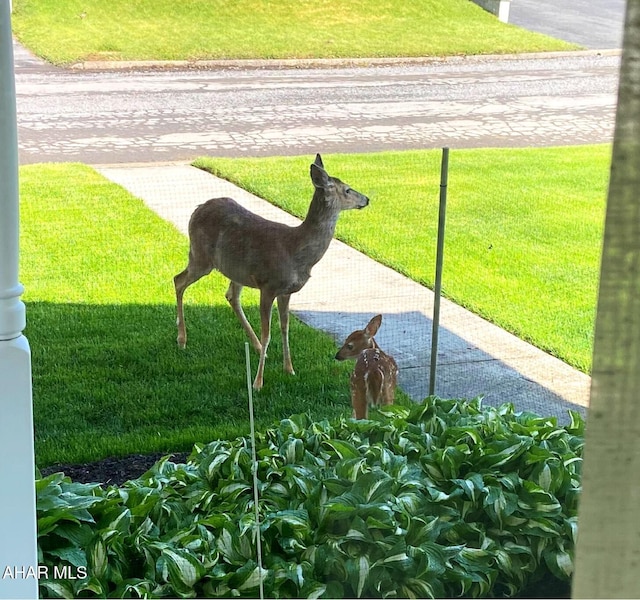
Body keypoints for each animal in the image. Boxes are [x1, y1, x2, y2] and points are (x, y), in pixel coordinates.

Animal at [175, 155, 370, 390]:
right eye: (348, 190)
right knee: (178, 280)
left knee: (230, 295)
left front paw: (289, 369)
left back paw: (258, 348)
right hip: (201, 256)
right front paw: (257, 383)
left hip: (235, 269)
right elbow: (268, 333)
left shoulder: (286, 291)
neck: (296, 251)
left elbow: (285, 328)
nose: (367, 199)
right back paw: (182, 339)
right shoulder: (267, 286)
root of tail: (196, 209)